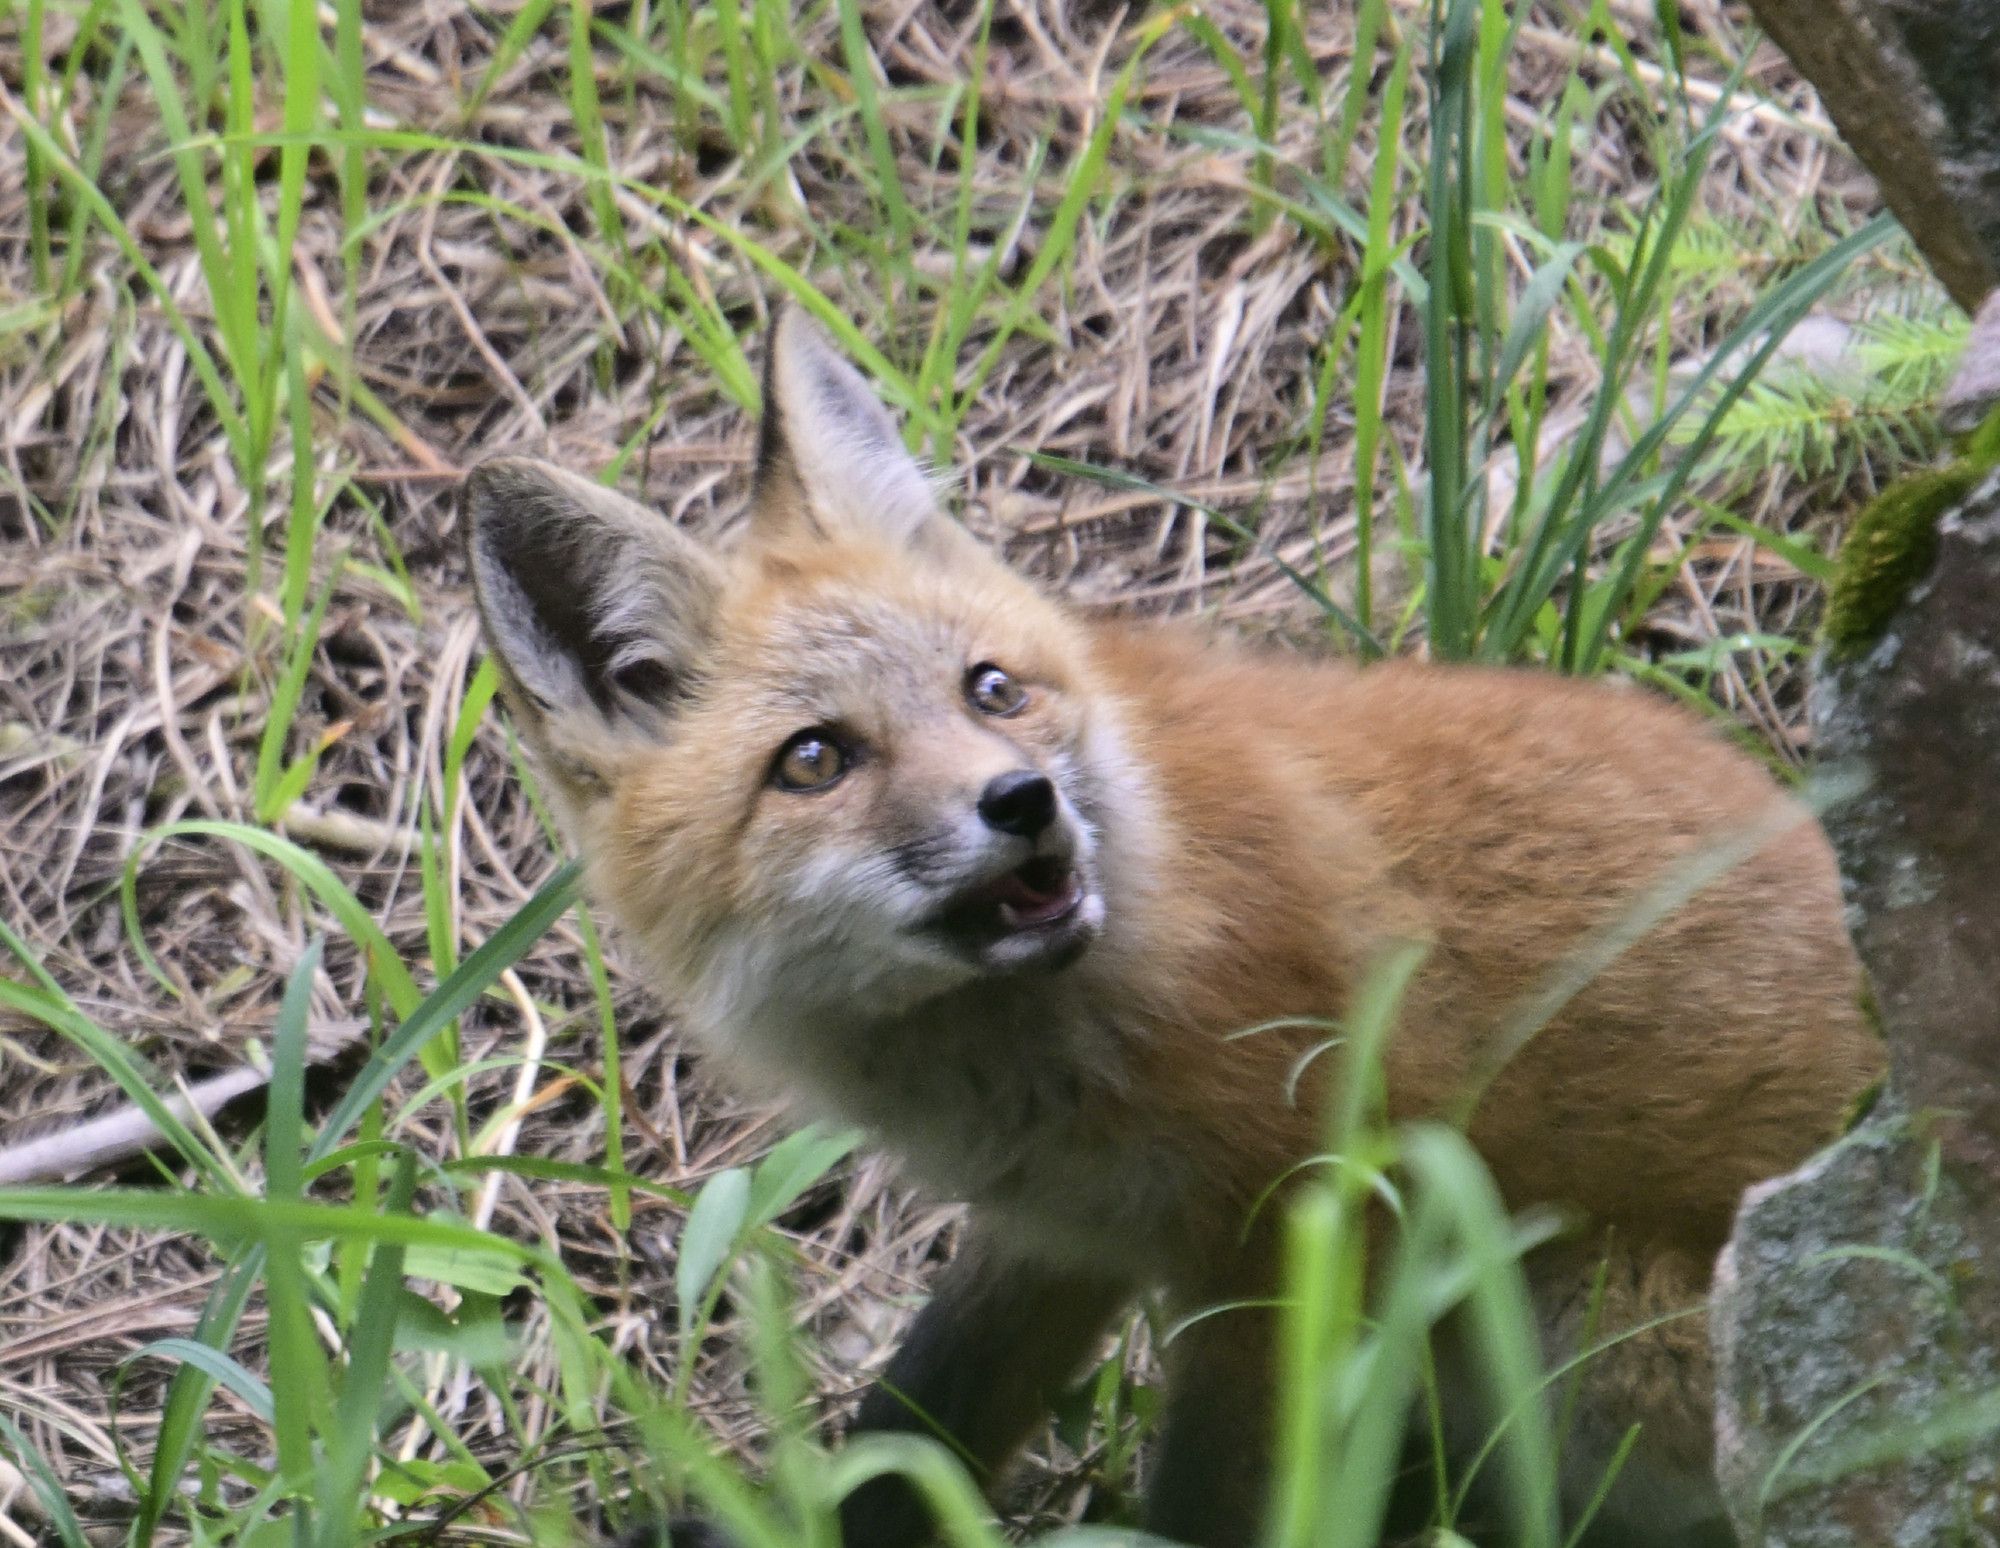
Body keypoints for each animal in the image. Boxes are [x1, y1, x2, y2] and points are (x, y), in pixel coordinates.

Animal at [460, 306, 1880, 1548]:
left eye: (990, 691)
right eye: (814, 761)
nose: (1021, 801)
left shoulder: (1290, 1217)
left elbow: (1206, 1499)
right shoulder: (1055, 1229)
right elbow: (916, 1424)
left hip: (1554, 1322)